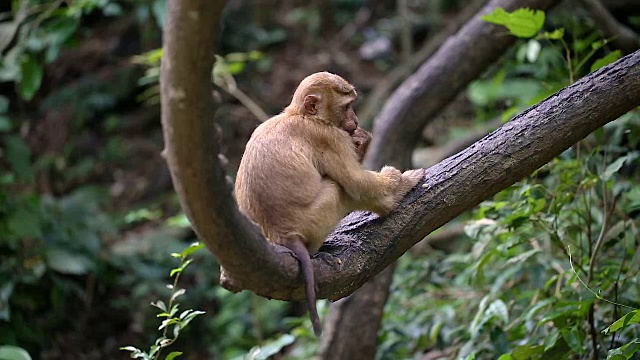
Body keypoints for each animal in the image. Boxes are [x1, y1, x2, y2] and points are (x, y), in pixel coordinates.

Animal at [232, 71, 422, 336]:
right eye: (347, 107)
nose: (355, 120)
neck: (299, 115)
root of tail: (281, 234)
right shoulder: (329, 137)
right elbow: (356, 182)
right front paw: (398, 182)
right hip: (315, 217)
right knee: (339, 187)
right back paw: (389, 202)